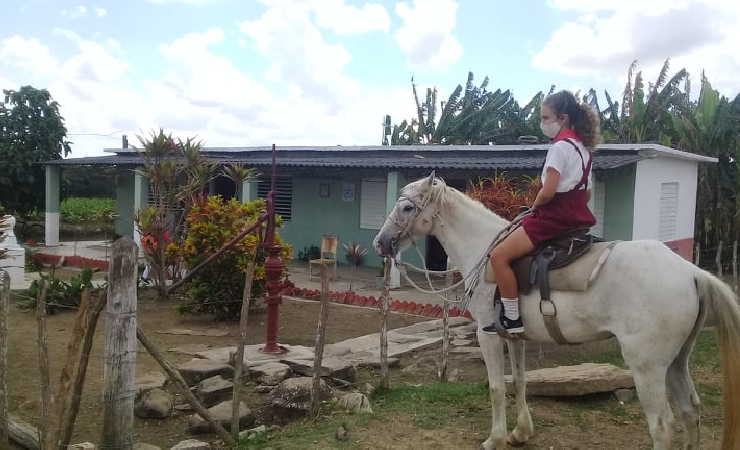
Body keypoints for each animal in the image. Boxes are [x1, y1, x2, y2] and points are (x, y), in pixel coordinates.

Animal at [372, 173, 740, 450]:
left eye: (407, 206)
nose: (381, 243)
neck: (483, 249)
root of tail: (692, 273)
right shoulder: (515, 336)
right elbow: (519, 381)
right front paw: (520, 433)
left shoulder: (487, 334)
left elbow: (495, 387)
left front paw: (495, 439)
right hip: (677, 360)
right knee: (691, 411)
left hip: (647, 366)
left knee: (662, 426)